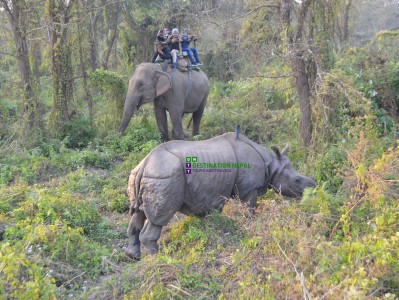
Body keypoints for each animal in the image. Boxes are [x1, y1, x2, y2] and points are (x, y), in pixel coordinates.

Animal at [123, 132, 318, 258]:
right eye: (297, 181)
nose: (313, 186)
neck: (271, 164)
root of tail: (144, 164)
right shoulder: (250, 189)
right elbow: (250, 209)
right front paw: (251, 225)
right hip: (165, 177)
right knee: (159, 218)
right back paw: (156, 258)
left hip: (141, 175)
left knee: (138, 213)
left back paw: (133, 256)